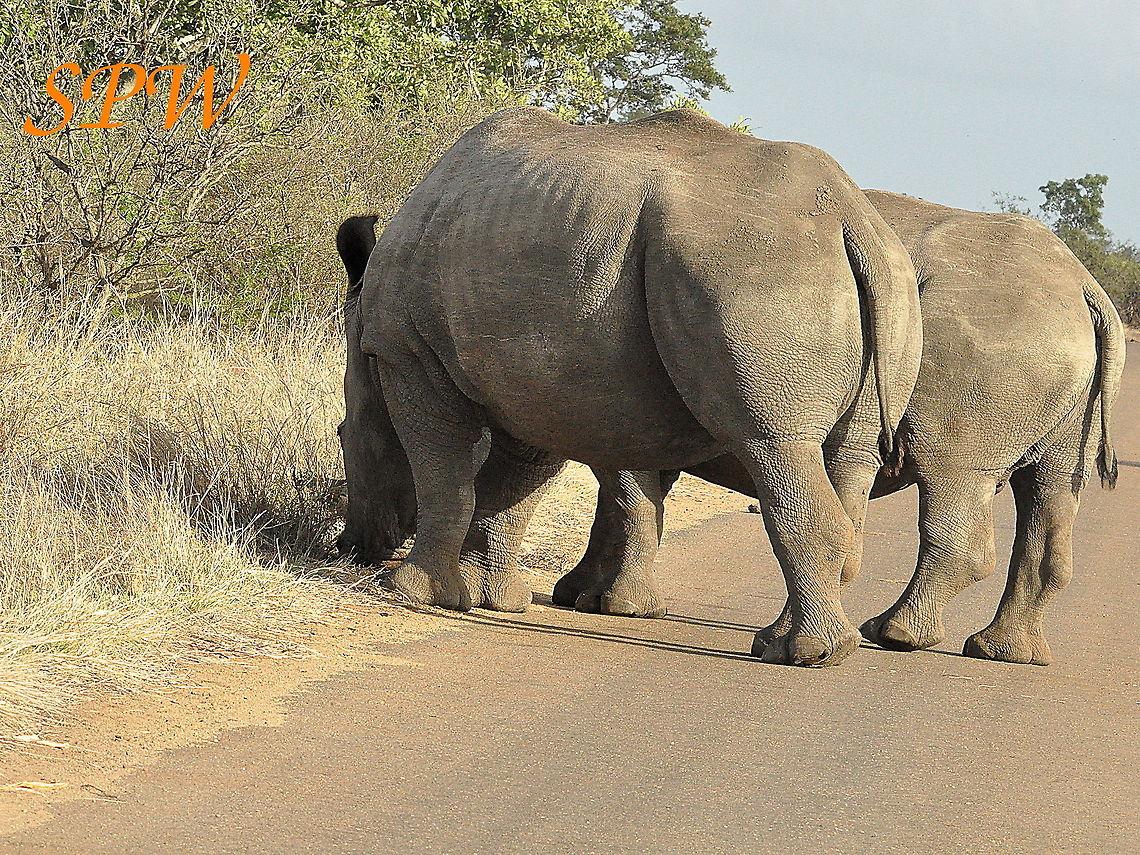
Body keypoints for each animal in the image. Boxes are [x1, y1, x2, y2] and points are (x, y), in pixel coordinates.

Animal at [337, 107, 922, 667]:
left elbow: (447, 474)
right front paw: (493, 598)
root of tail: (851, 219)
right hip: (880, 285)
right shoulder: (541, 379)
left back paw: (798, 654)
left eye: (344, 439)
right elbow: (511, 484)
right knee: (846, 453)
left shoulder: (406, 353)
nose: (351, 546)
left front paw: (413, 592)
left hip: (752, 268)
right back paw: (812, 644)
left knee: (774, 444)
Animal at [554, 189, 1126, 665]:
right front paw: (576, 594)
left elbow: (627, 491)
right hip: (1044, 345)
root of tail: (1086, 287)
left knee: (952, 474)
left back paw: (890, 635)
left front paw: (614, 607)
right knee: (1049, 485)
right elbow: (620, 496)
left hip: (994, 343)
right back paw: (1001, 653)